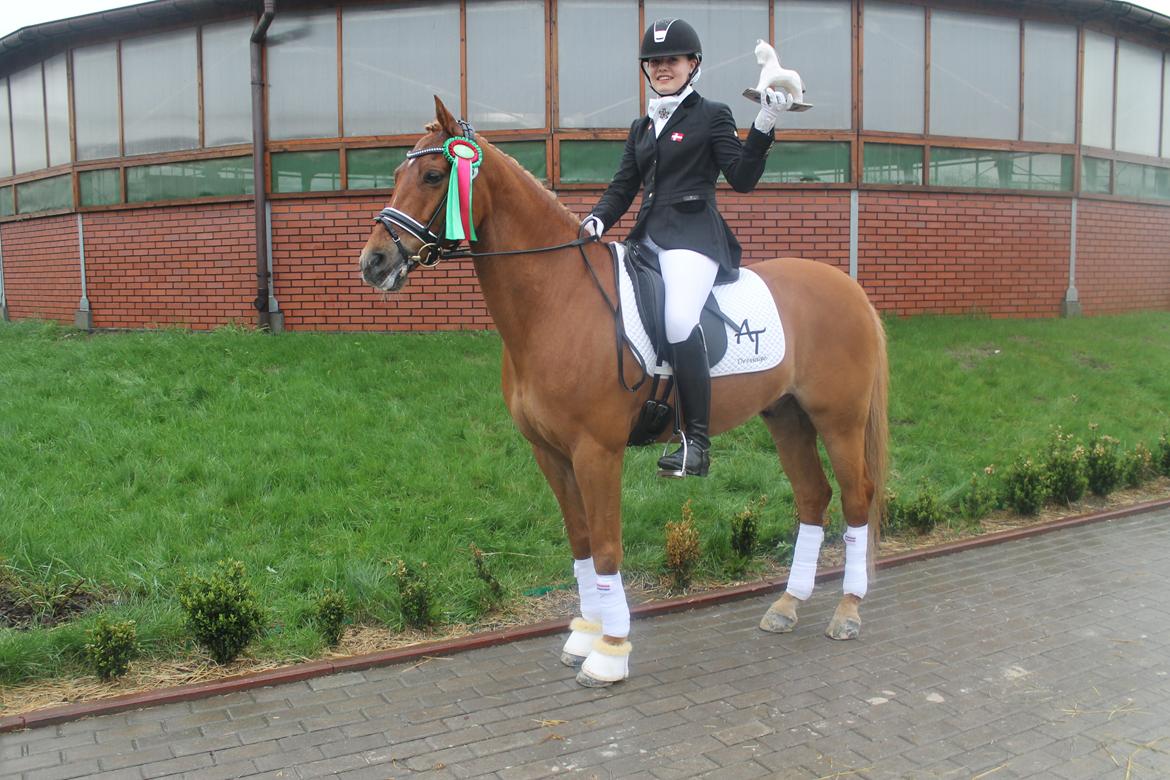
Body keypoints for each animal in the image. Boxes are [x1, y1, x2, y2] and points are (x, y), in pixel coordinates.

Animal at [358, 99, 884, 687]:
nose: (373, 263)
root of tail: (849, 287)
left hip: (838, 420)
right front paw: (584, 634)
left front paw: (610, 651)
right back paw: (788, 606)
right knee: (813, 497)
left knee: (857, 499)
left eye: (433, 175)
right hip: (787, 416)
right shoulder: (550, 453)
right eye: (396, 174)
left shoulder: (597, 452)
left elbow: (608, 547)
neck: (556, 299)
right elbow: (582, 542)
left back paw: (848, 611)